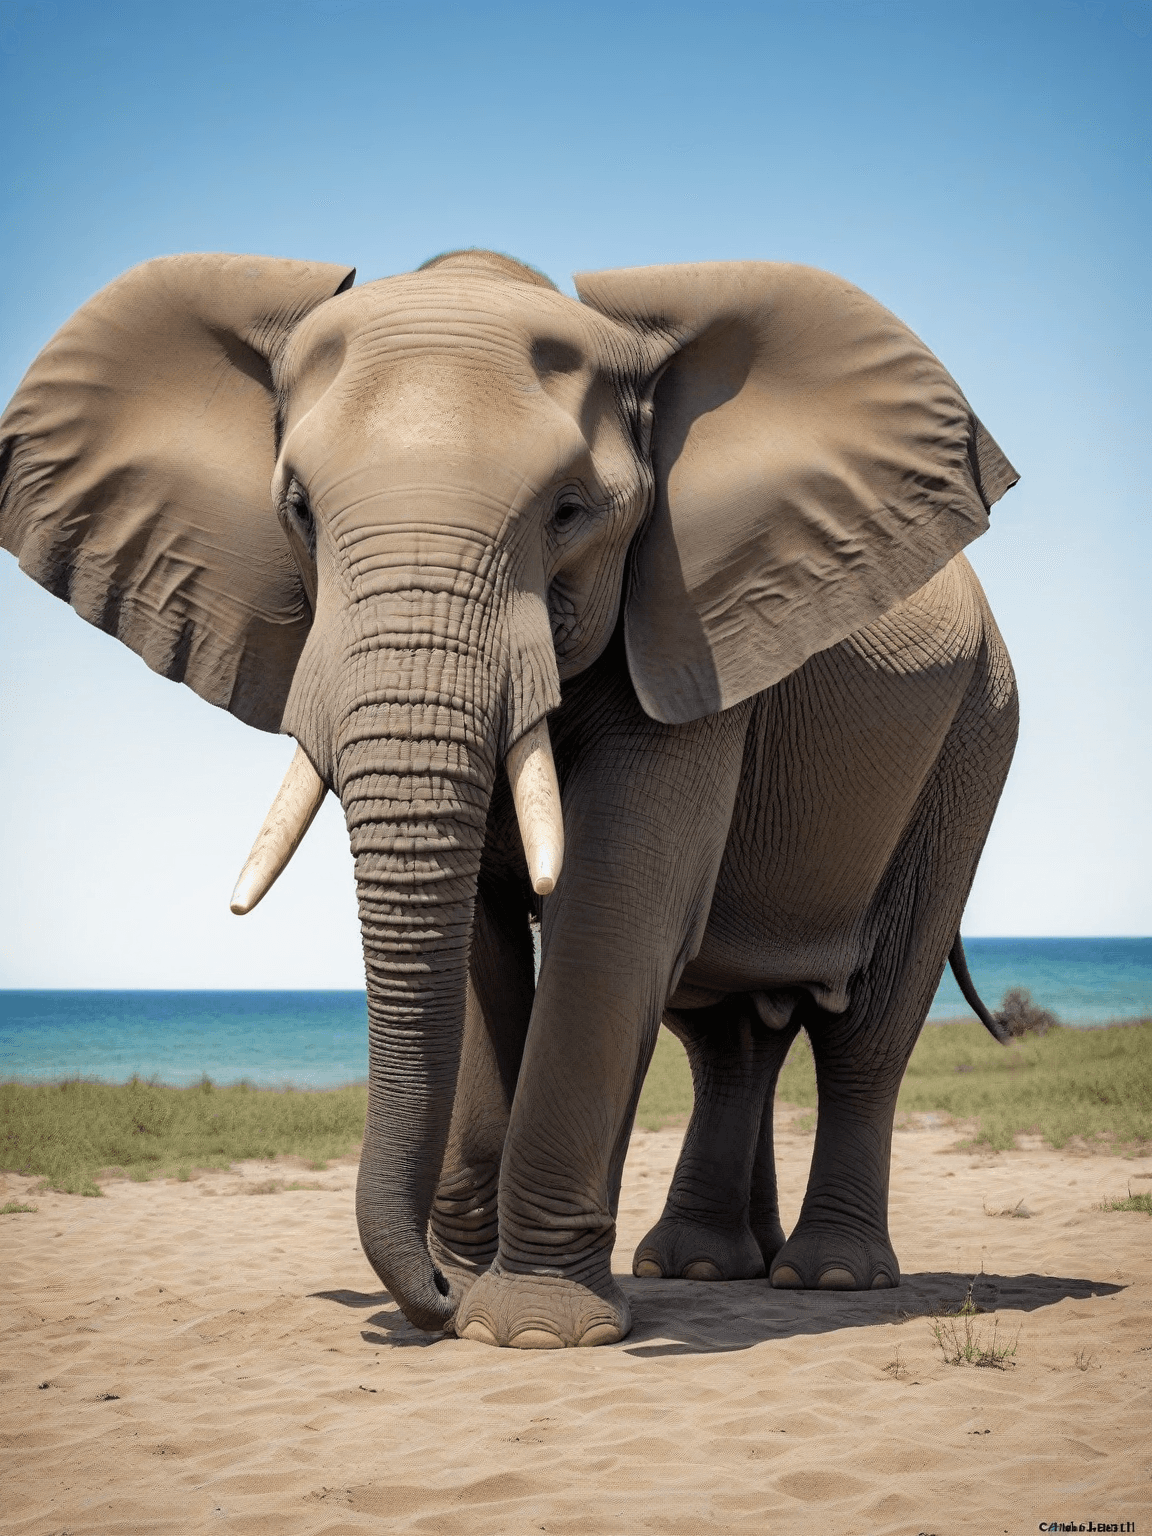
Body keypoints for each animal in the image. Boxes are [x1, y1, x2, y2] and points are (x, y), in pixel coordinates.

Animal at [0, 248, 1019, 1348]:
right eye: (299, 510)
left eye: (570, 511)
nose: (432, 1303)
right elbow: (484, 948)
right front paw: (474, 1294)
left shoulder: (689, 632)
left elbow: (614, 915)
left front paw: (529, 1329)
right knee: (727, 1035)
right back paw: (698, 1266)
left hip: (973, 741)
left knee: (867, 1026)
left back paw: (828, 1279)